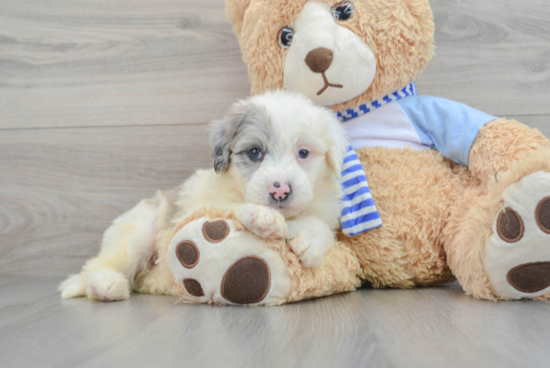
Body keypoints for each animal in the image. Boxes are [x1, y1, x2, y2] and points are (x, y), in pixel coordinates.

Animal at [59, 90, 350, 302]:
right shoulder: (208, 202)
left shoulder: (325, 212)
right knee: (98, 265)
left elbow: (319, 224)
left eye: (304, 153)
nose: (280, 190)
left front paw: (310, 242)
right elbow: (232, 207)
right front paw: (265, 218)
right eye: (254, 152)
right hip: (135, 236)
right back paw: (107, 285)